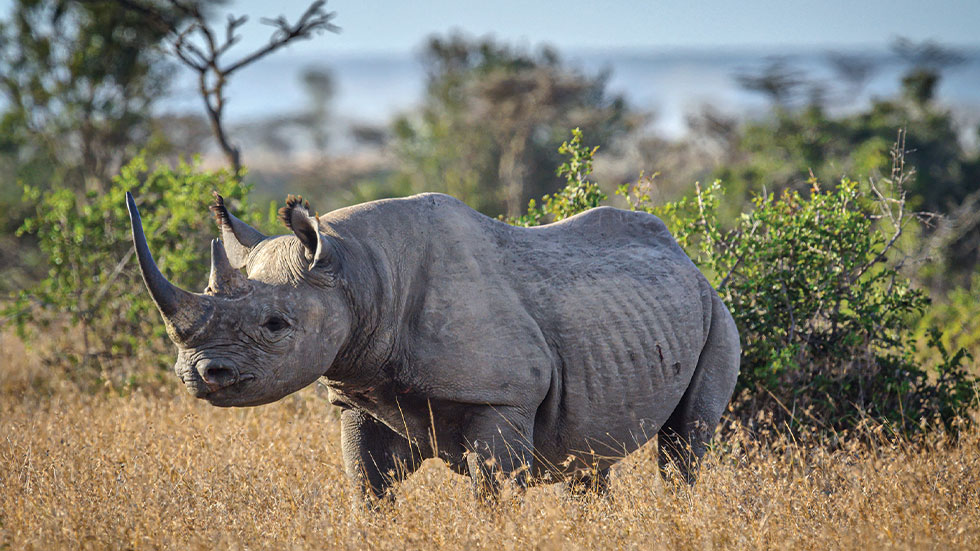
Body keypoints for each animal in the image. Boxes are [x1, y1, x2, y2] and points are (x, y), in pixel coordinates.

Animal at [125, 190, 739, 502]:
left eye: (276, 325)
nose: (201, 374)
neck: (358, 270)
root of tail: (687, 258)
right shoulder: (360, 394)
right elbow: (367, 486)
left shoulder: (501, 398)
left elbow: (494, 492)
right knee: (589, 459)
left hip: (717, 313)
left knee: (685, 443)